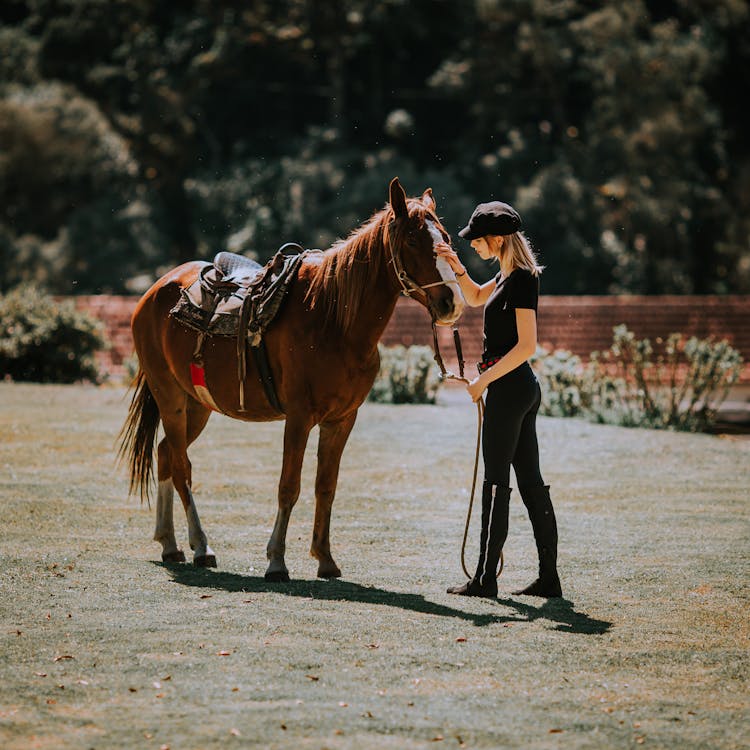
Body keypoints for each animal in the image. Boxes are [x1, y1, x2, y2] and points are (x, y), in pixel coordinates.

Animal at [119, 179, 464, 584]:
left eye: (445, 237)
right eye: (412, 239)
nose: (452, 301)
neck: (332, 318)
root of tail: (154, 291)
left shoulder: (341, 420)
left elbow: (325, 487)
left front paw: (325, 558)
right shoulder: (299, 418)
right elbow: (289, 486)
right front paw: (276, 561)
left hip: (198, 405)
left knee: (165, 455)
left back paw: (170, 543)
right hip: (169, 397)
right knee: (181, 466)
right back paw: (201, 546)